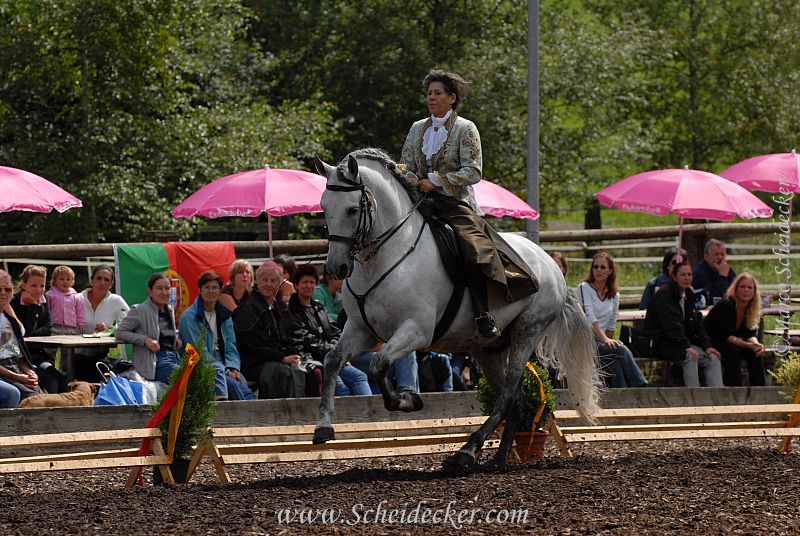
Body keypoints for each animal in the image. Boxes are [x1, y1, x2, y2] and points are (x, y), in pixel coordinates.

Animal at [312, 148, 599, 469]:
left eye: (352, 210)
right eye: (323, 206)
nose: (336, 267)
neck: (385, 257)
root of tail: (549, 262)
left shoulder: (416, 331)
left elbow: (378, 364)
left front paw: (407, 401)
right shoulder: (361, 330)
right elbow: (333, 360)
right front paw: (323, 427)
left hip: (527, 334)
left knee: (508, 393)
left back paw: (468, 450)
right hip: (487, 349)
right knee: (514, 399)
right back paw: (498, 458)